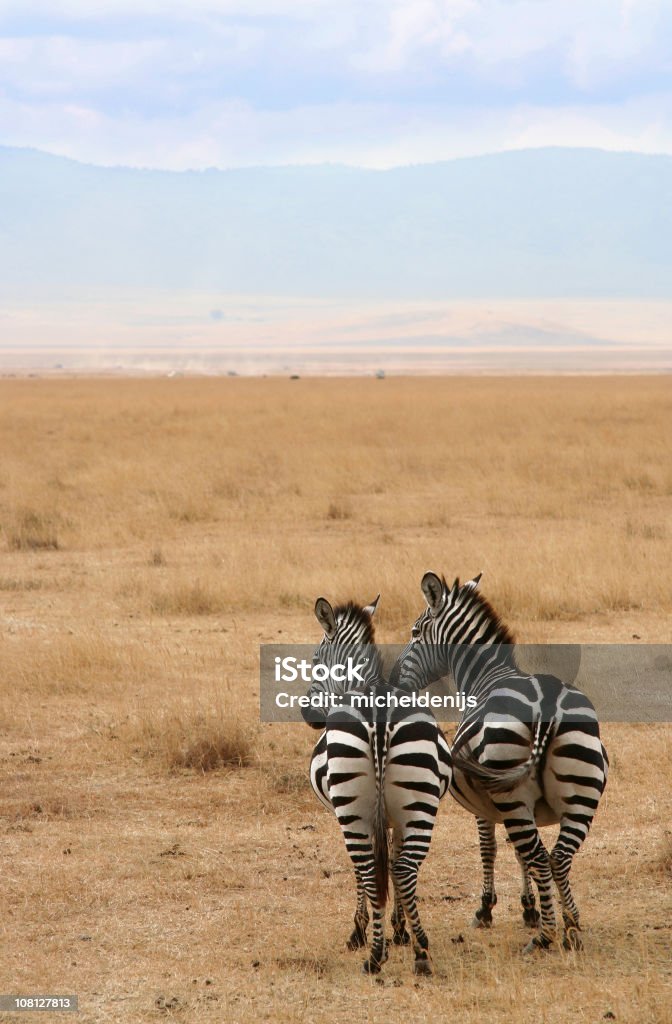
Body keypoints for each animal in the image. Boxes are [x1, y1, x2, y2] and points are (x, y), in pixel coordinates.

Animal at [305, 598, 450, 974]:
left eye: (316, 660)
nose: (307, 714)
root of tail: (379, 718)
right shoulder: (392, 818)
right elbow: (393, 863)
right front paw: (399, 929)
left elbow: (365, 872)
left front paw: (363, 931)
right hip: (419, 804)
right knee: (404, 868)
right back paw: (419, 951)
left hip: (352, 810)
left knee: (370, 868)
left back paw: (375, 954)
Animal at [393, 573, 610, 954]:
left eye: (416, 632)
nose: (394, 681)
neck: (487, 676)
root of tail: (547, 702)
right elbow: (519, 853)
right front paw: (530, 908)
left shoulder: (486, 805)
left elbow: (490, 848)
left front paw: (488, 909)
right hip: (581, 792)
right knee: (558, 857)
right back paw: (571, 926)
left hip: (511, 790)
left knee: (541, 856)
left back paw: (545, 936)